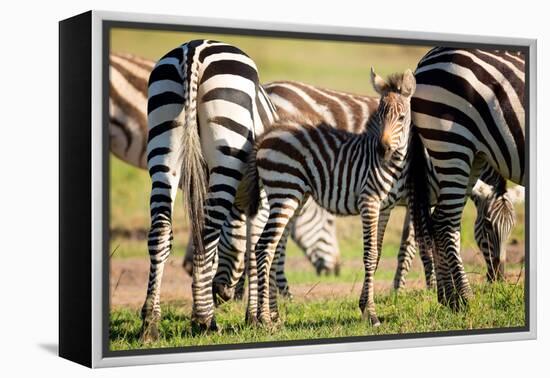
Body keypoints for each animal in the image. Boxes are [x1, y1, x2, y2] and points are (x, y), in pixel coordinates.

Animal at [237, 68, 418, 328]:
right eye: (379, 117)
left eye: (402, 118)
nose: (382, 151)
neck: (393, 166)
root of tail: (267, 134)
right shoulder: (369, 202)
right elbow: (370, 254)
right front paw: (372, 314)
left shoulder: (386, 208)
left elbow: (378, 254)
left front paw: (365, 306)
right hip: (284, 192)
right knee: (264, 247)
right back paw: (264, 320)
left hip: (295, 196)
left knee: (273, 247)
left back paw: (272, 316)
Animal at [412, 47, 528, 308]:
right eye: (487, 225)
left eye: (512, 227)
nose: (498, 278)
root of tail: (425, 58)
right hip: (452, 143)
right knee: (444, 223)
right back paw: (463, 299)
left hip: (471, 157)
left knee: (441, 222)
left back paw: (448, 298)